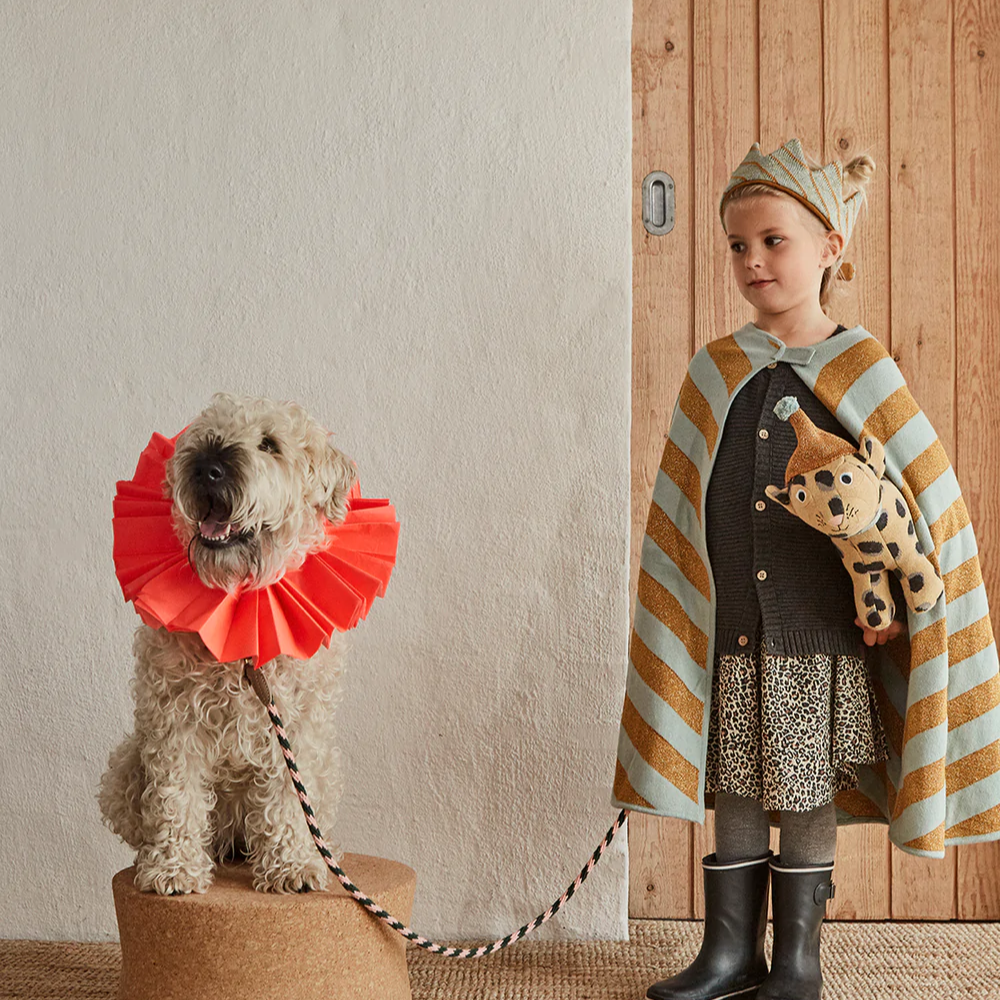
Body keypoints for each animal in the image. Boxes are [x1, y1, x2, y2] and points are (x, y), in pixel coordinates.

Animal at [97, 392, 356, 900]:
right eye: (204, 433)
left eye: (270, 444)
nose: (208, 466)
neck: (240, 601)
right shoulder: (173, 719)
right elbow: (176, 795)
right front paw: (174, 868)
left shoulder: (294, 725)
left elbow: (288, 798)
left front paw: (292, 865)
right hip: (124, 766)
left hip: (329, 769)